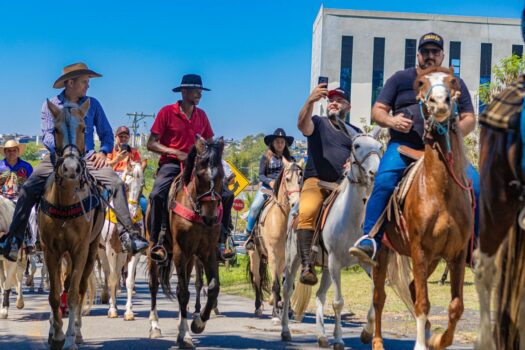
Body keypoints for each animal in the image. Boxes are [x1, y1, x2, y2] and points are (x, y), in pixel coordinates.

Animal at [39, 99, 105, 350]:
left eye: (85, 129)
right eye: (55, 130)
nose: (69, 168)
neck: (66, 200)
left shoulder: (80, 250)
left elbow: (75, 293)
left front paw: (68, 339)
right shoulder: (50, 250)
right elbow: (54, 293)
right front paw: (56, 335)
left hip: (92, 251)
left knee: (81, 287)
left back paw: (76, 332)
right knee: (62, 287)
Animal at [98, 161, 145, 320]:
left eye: (142, 185)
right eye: (126, 185)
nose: (132, 212)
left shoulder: (133, 253)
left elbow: (129, 281)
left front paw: (129, 312)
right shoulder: (110, 250)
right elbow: (112, 278)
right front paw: (112, 310)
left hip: (122, 254)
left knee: (118, 273)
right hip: (102, 252)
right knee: (108, 273)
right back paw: (108, 299)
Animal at [247, 157, 302, 322]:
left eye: (301, 178)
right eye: (287, 179)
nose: (295, 204)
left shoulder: (287, 257)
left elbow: (287, 284)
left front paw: (284, 310)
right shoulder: (273, 256)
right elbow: (276, 284)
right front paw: (276, 314)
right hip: (255, 256)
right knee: (258, 280)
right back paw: (258, 307)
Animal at [370, 66, 472, 350]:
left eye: (453, 81)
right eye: (421, 83)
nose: (439, 102)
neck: (440, 190)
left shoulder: (456, 253)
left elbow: (456, 306)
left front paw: (437, 340)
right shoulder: (419, 249)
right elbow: (423, 304)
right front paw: (420, 344)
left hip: (435, 259)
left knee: (414, 287)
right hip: (383, 252)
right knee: (379, 297)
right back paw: (376, 340)